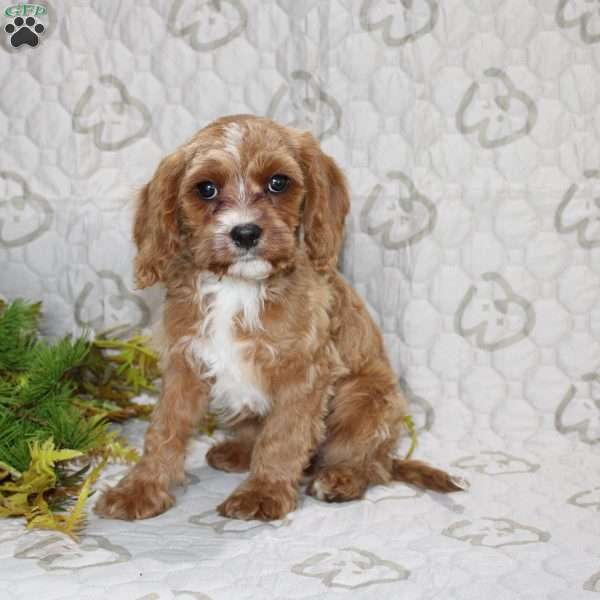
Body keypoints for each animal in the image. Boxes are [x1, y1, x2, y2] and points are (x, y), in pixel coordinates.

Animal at [95, 115, 464, 524]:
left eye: (278, 182)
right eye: (206, 189)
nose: (245, 232)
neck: (238, 287)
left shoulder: (304, 372)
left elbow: (283, 436)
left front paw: (263, 492)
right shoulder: (184, 365)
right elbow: (164, 429)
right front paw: (139, 488)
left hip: (366, 400)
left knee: (372, 464)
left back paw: (341, 478)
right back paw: (237, 451)